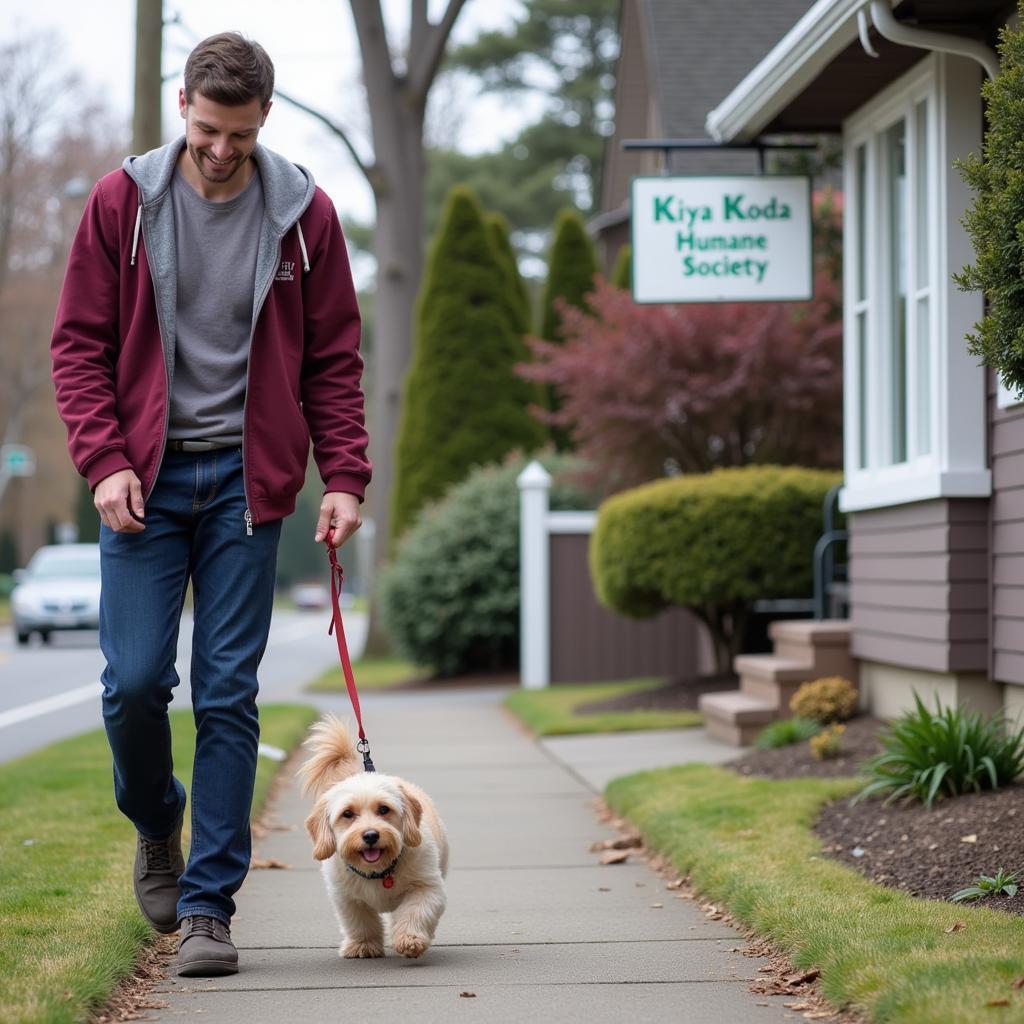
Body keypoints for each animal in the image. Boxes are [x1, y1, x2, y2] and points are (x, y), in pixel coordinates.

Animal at [296, 712, 448, 958]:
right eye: (348, 814)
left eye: (384, 809)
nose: (370, 835)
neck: (379, 871)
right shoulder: (346, 898)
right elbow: (360, 922)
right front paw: (363, 945)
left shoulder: (427, 887)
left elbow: (415, 912)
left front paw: (410, 939)